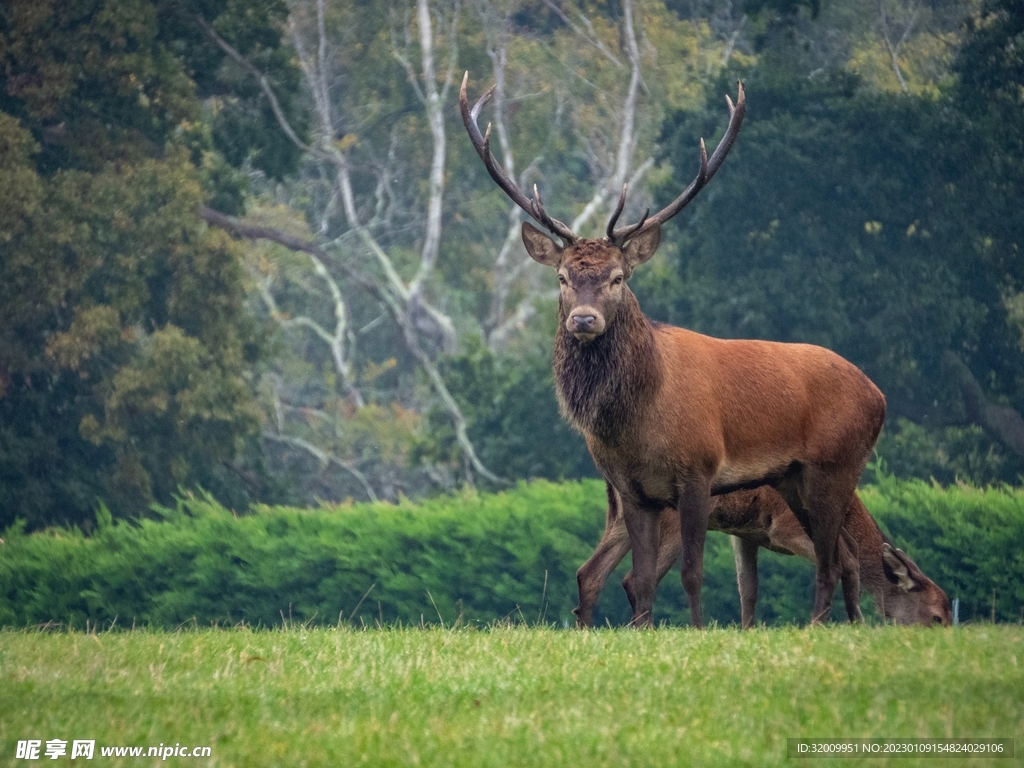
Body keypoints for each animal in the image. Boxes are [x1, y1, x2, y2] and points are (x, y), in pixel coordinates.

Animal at [460, 73, 887, 627]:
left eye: (618, 277)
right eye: (562, 277)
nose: (584, 320)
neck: (637, 421)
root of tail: (879, 396)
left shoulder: (699, 471)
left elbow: (692, 573)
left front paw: (700, 631)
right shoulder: (632, 489)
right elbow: (640, 581)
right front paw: (641, 630)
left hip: (837, 465)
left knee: (833, 558)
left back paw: (823, 626)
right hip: (795, 479)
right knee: (841, 554)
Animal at [574, 481, 952, 628]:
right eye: (936, 617)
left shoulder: (745, 534)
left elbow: (749, 588)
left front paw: (747, 631)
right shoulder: (783, 526)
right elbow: (849, 557)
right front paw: (850, 624)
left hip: (619, 518)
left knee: (589, 571)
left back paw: (587, 630)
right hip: (669, 519)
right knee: (634, 578)